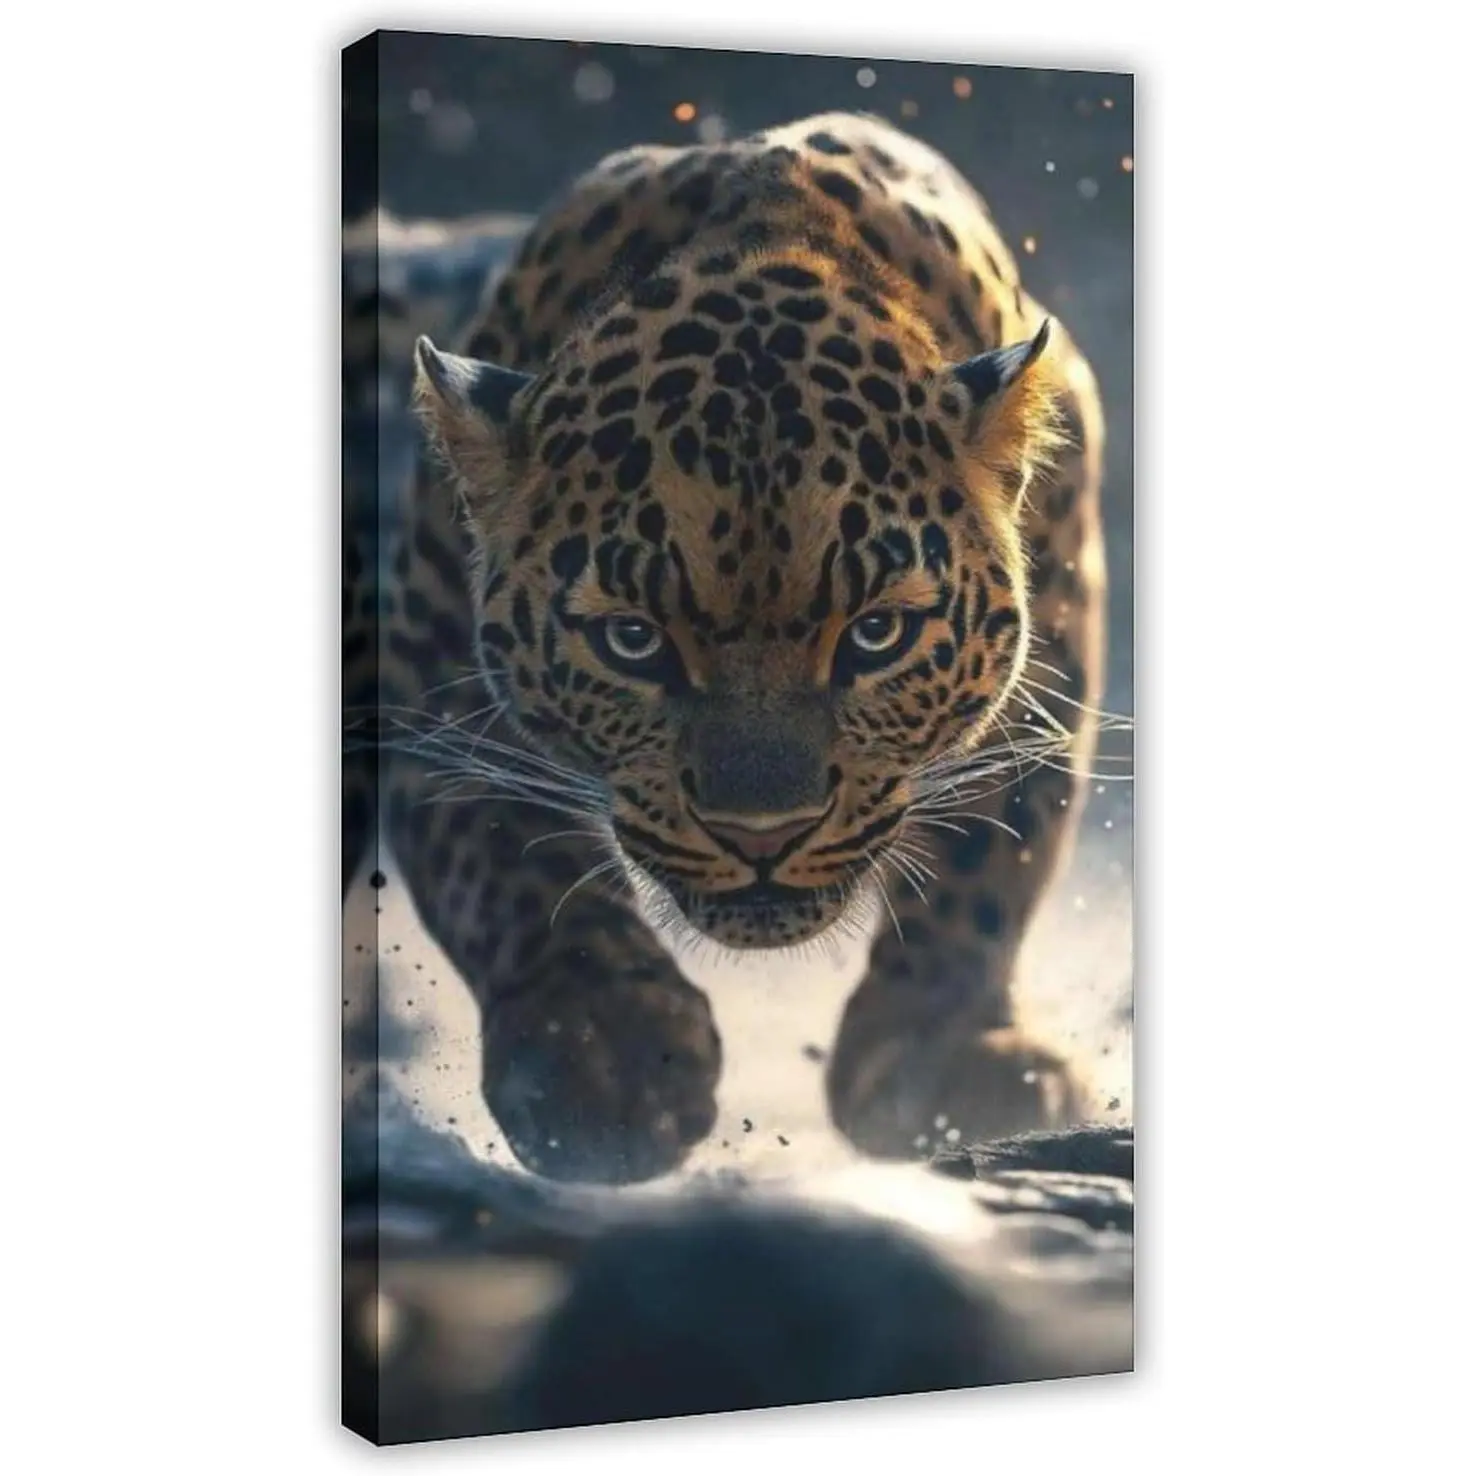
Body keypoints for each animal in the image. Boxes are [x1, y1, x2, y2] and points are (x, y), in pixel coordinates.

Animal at [345, 110, 1109, 1185]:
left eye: (875, 633)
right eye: (633, 641)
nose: (762, 836)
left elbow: (1001, 828)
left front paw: (940, 1056)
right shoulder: (432, 662)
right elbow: (499, 864)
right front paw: (608, 1063)